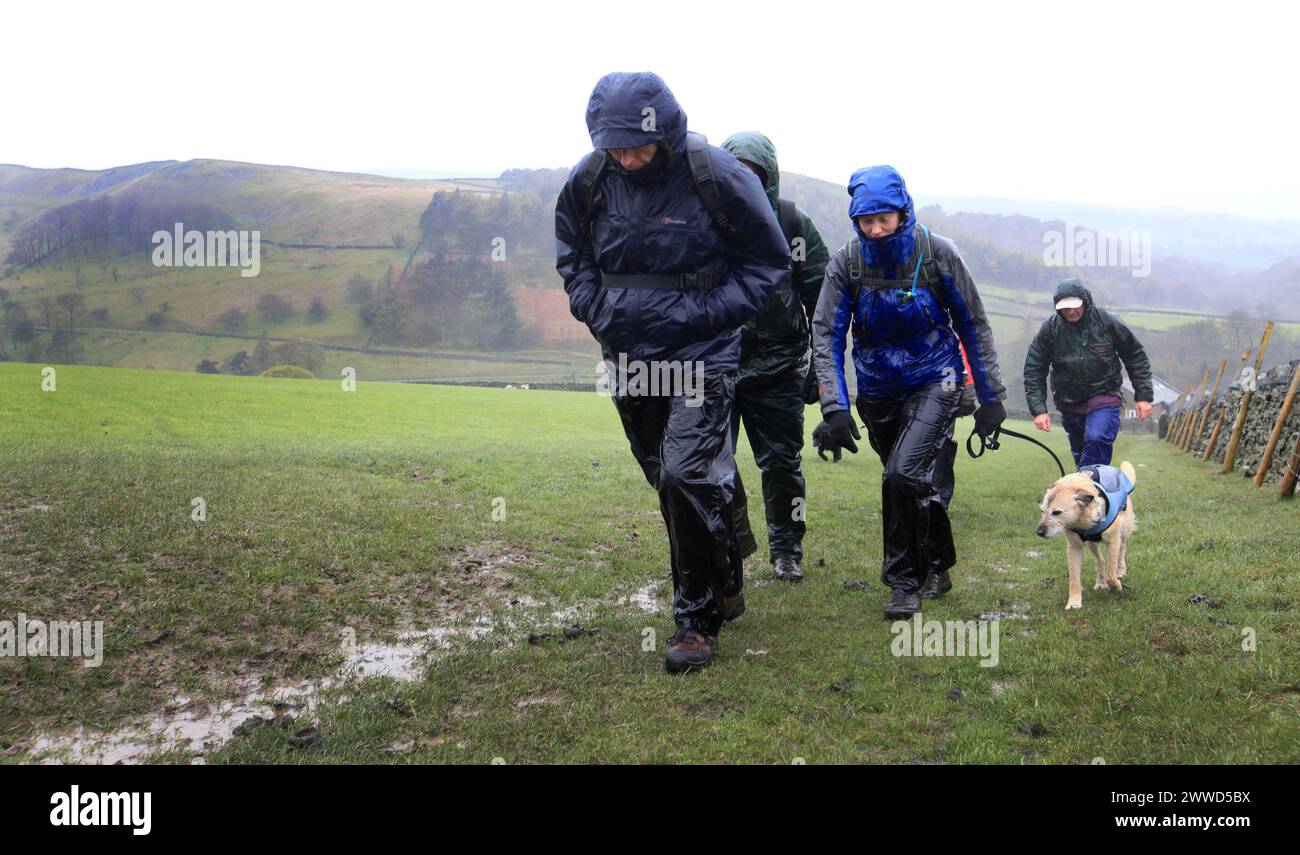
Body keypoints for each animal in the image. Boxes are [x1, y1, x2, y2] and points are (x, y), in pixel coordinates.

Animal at [1034, 459, 1138, 605]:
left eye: (1057, 512)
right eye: (1042, 511)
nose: (1039, 532)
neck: (1082, 519)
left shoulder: (1113, 541)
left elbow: (1111, 573)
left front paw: (1117, 586)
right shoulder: (1074, 547)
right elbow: (1074, 578)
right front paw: (1074, 602)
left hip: (1123, 529)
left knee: (1122, 549)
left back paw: (1121, 570)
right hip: (1091, 543)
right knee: (1100, 560)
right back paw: (1101, 581)